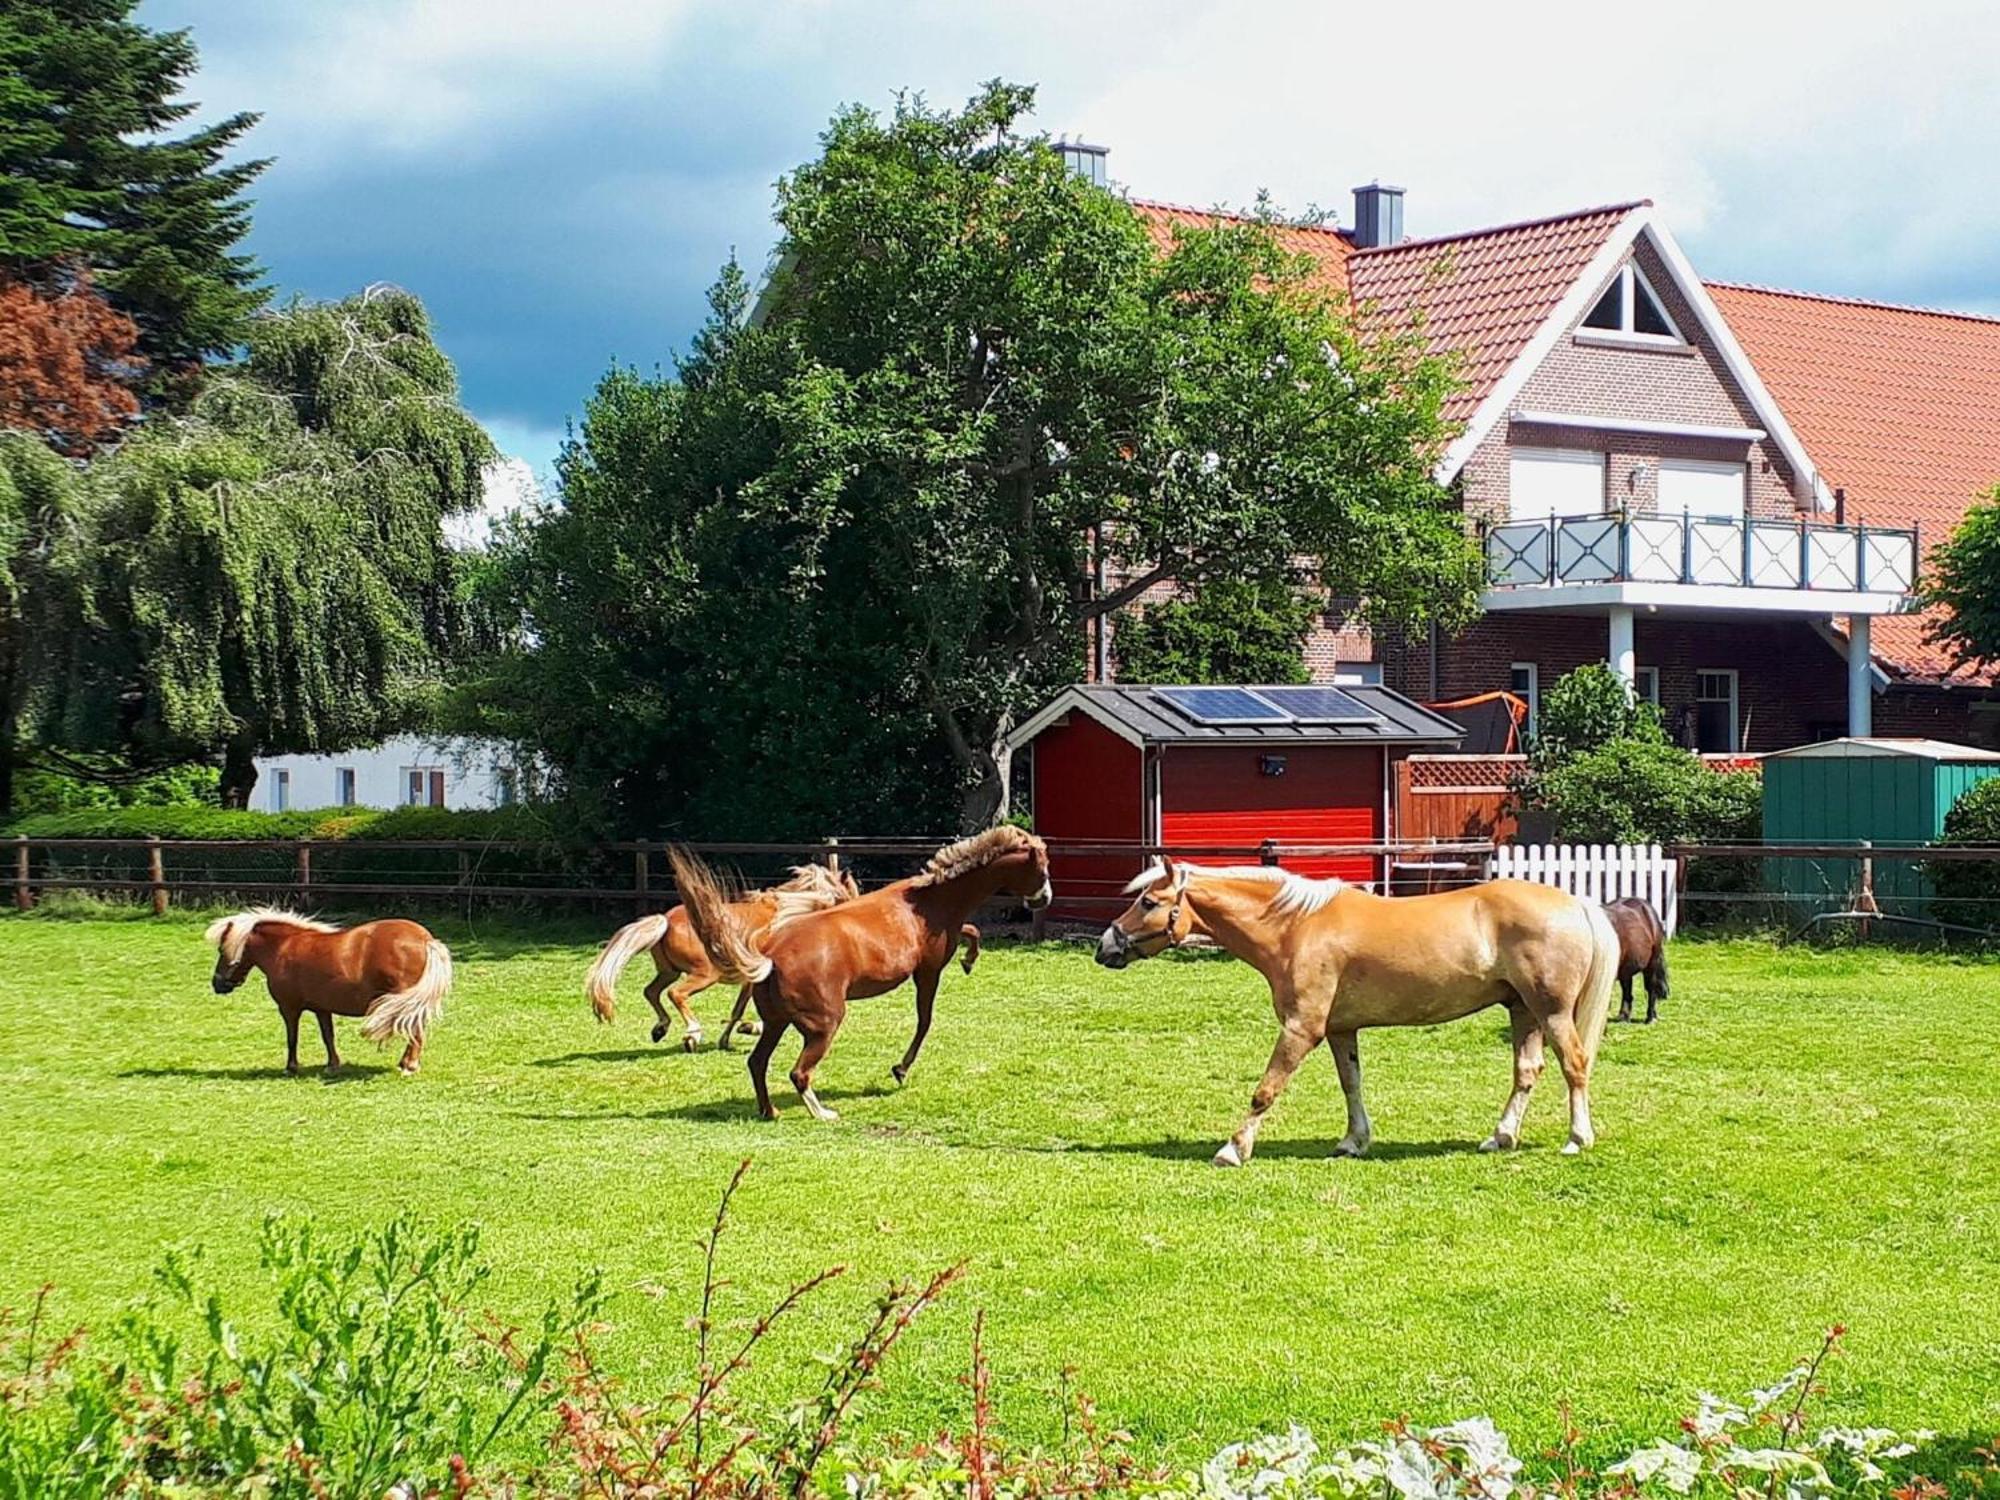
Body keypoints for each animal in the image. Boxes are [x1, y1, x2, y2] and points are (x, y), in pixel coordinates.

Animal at [203, 912, 454, 1072]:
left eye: (221, 949)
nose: (217, 984)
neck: (284, 947)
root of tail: (426, 939)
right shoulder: (322, 1009)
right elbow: (328, 1036)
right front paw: (333, 1065)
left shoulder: (289, 1008)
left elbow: (292, 1037)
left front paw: (291, 1067)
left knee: (415, 1031)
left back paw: (409, 1066)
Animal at [580, 864, 860, 1048]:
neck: (788, 911)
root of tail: (666, 921)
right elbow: (744, 1009)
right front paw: (744, 1031)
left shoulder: (752, 978)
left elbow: (738, 1009)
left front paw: (734, 1035)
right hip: (704, 974)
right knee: (676, 994)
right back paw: (692, 1034)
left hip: (669, 971)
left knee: (651, 992)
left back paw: (661, 1028)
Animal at [672, 828, 1056, 1120]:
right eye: (1042, 867)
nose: (1046, 898)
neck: (927, 902)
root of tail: (770, 958)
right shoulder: (928, 969)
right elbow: (925, 1020)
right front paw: (900, 1069)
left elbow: (972, 932)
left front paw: (970, 961)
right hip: (824, 1024)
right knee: (798, 1072)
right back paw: (823, 1113)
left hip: (777, 1023)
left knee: (757, 1062)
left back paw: (771, 1111)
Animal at [1096, 864, 1624, 1168]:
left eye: (1148, 901)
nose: (1105, 947)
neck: (1295, 927)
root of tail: (1575, 903)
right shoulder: (1340, 1030)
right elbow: (1352, 1084)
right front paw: (1353, 1142)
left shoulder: (1302, 1029)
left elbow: (1266, 1090)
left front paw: (1233, 1149)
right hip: (1522, 1011)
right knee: (1527, 1072)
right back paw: (1500, 1137)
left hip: (1552, 1012)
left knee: (1575, 1065)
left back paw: (1577, 1138)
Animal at [1608, 900, 1672, 1032]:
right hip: (1625, 970)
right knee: (1628, 993)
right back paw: (1624, 1016)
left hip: (1651, 964)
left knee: (1651, 990)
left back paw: (1650, 1018)